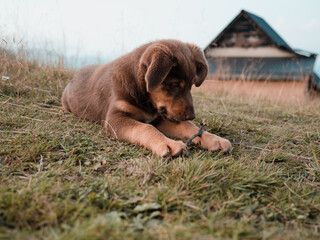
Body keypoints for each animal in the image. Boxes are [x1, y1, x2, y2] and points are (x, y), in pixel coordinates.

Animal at [62, 39, 232, 158]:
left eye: (191, 85)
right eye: (175, 84)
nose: (192, 115)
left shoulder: (160, 118)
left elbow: (188, 127)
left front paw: (214, 139)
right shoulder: (114, 118)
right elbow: (145, 128)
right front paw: (169, 144)